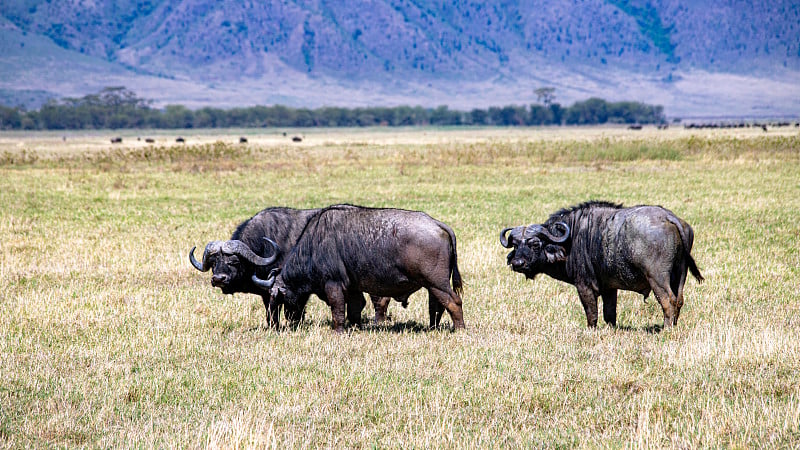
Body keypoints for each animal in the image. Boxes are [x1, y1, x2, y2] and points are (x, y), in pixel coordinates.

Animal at [188, 207, 400, 326]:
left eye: (234, 261)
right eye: (214, 262)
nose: (218, 279)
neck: (264, 247)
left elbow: (292, 311)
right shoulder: (268, 292)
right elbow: (271, 312)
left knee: (380, 299)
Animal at [260, 206, 466, 332]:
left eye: (276, 298)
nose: (276, 324)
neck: (314, 245)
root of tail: (437, 224)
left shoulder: (333, 284)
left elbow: (337, 310)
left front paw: (338, 332)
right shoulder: (352, 288)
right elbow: (354, 309)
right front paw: (355, 327)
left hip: (437, 283)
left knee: (454, 302)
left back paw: (460, 329)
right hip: (433, 286)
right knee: (436, 307)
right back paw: (433, 328)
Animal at [504, 202, 704, 328]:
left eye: (535, 244)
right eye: (515, 244)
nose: (517, 263)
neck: (571, 238)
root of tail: (668, 217)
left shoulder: (584, 285)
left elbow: (591, 312)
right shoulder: (610, 288)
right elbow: (610, 313)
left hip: (657, 278)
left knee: (668, 300)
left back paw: (666, 328)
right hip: (680, 274)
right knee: (679, 300)